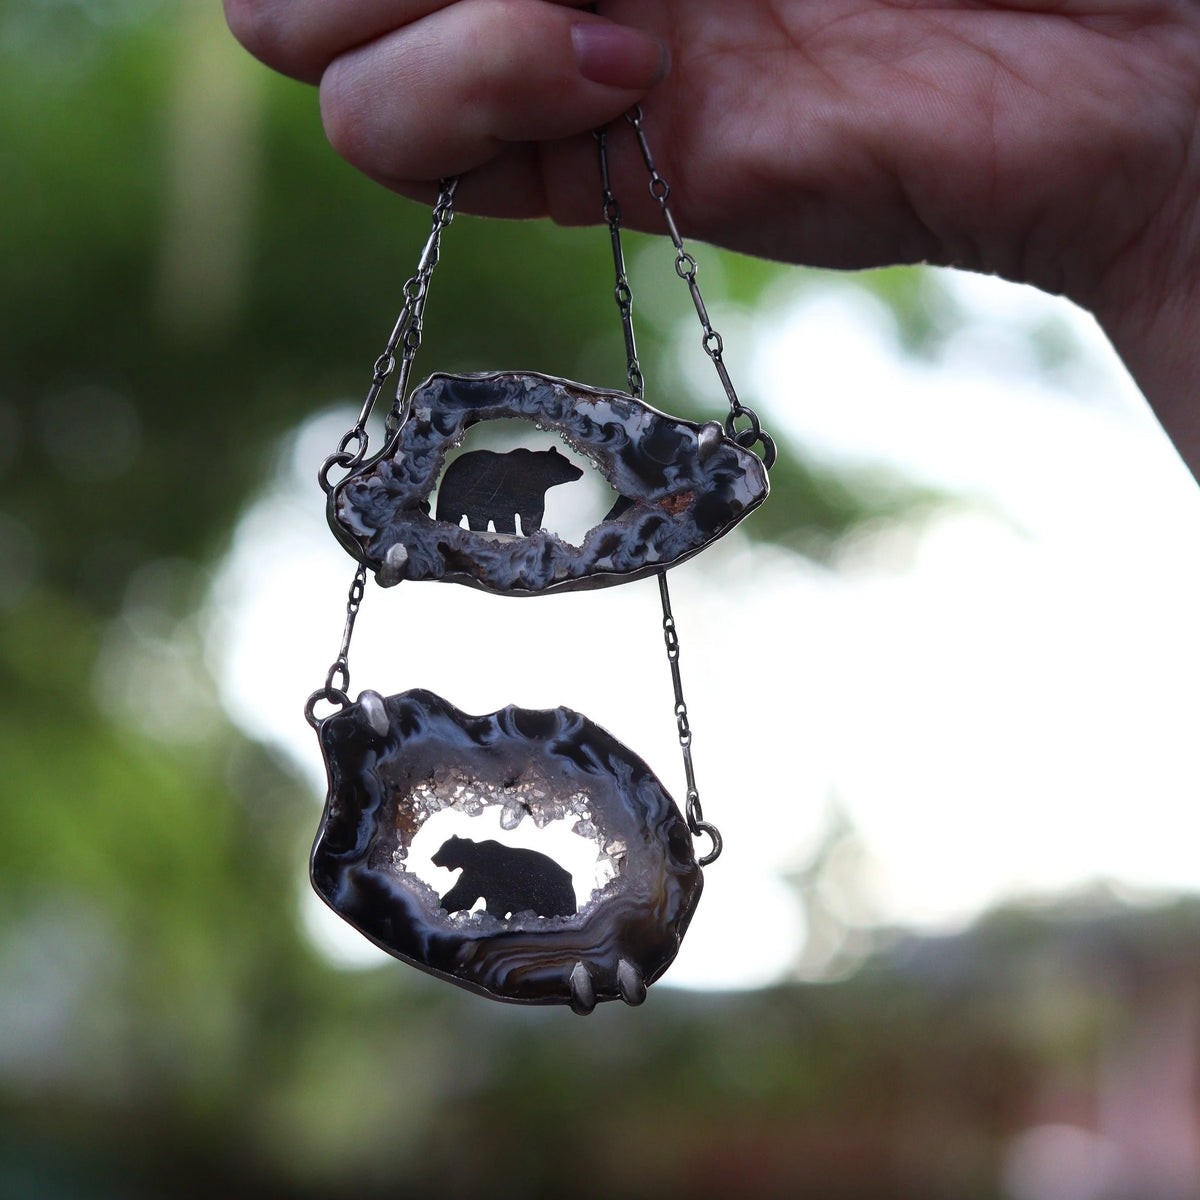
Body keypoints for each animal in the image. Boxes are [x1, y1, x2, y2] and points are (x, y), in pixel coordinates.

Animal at [431, 835, 576, 920]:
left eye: (442, 848)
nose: (433, 858)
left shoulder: (490, 877)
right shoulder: (474, 876)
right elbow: (463, 896)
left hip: (552, 892)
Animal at [435, 445, 583, 535]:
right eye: (567, 462)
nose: (580, 471)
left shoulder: (533, 492)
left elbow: (532, 514)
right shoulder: (512, 491)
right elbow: (511, 517)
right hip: (458, 493)